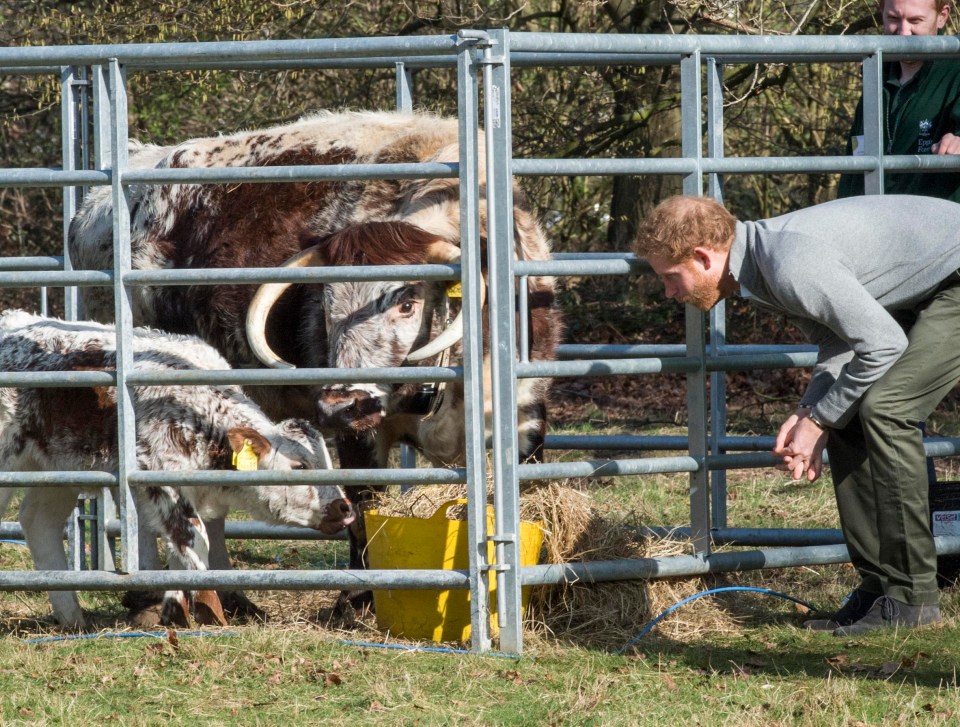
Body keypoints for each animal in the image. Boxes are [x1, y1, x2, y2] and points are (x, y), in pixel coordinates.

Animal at [0, 312, 352, 632]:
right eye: (300, 466)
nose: (344, 508)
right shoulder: (160, 480)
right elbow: (195, 538)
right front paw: (202, 608)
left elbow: (189, 545)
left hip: (57, 470)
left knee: (39, 521)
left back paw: (72, 618)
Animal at [69, 109, 564, 608]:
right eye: (325, 304)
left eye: (407, 301)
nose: (341, 402)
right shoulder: (360, 437)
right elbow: (365, 508)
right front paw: (359, 597)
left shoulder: (527, 418)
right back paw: (150, 595)